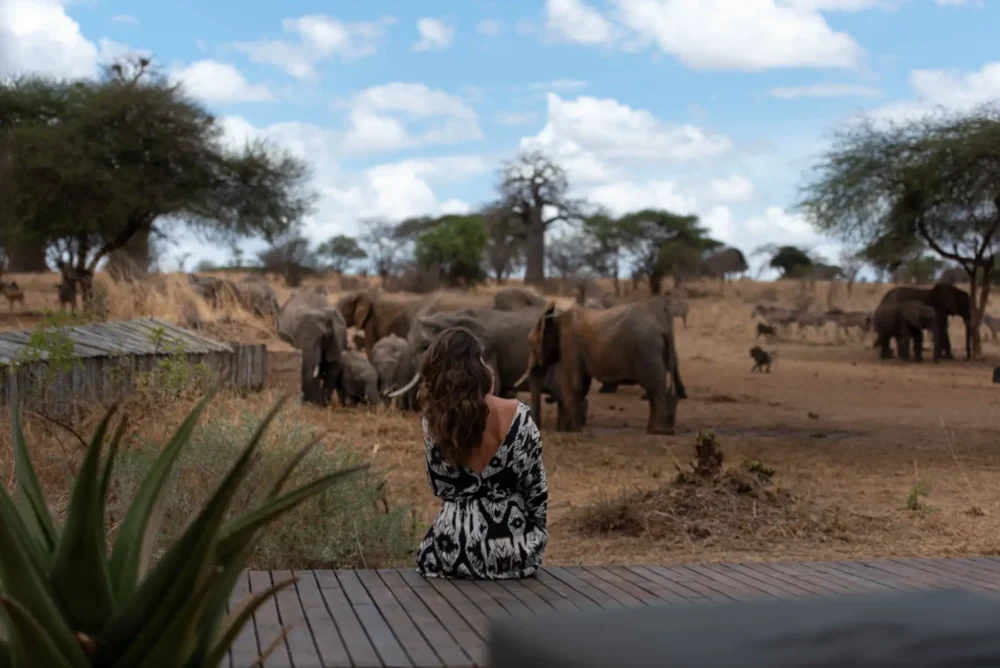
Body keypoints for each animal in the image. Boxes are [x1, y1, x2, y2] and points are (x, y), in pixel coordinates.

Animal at [526, 299, 685, 434]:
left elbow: (573, 384)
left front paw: (573, 431)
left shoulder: (569, 344)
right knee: (655, 388)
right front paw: (576, 429)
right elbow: (582, 384)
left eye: (531, 344)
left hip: (647, 350)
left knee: (655, 388)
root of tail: (663, 325)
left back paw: (660, 431)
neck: (556, 318)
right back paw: (655, 430)